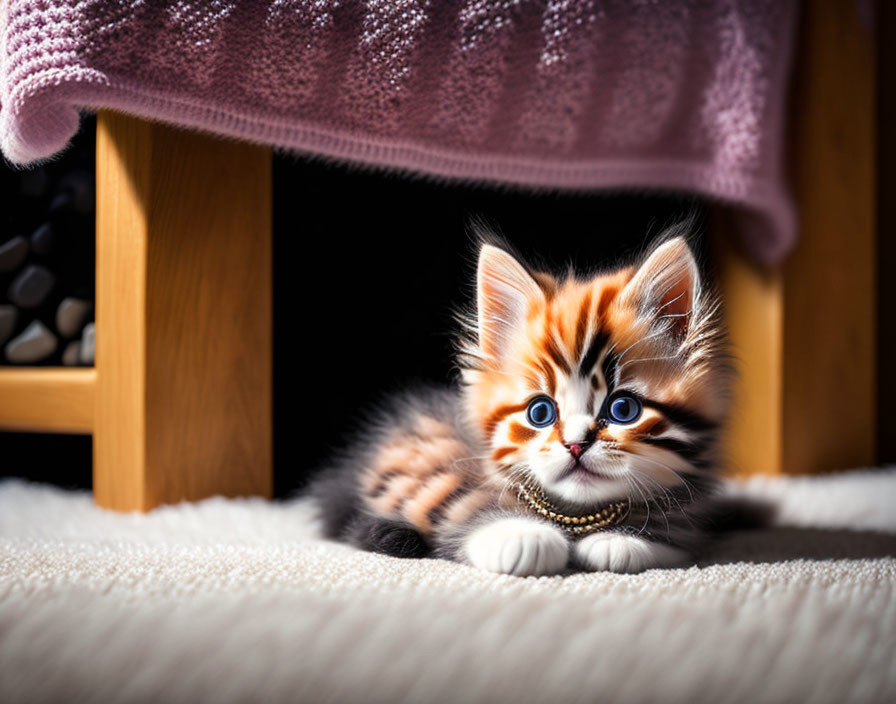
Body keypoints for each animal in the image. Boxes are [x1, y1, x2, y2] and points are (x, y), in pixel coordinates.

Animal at [312, 228, 732, 576]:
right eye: (540, 412)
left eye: (623, 409)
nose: (576, 444)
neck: (575, 512)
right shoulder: (446, 473)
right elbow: (465, 507)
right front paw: (521, 536)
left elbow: (677, 533)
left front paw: (624, 540)